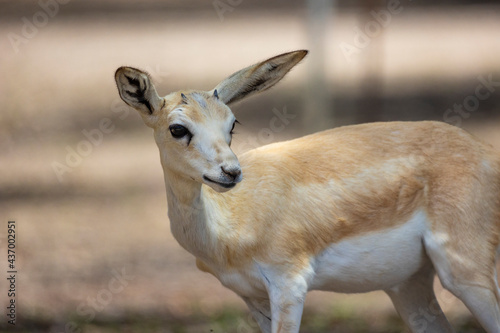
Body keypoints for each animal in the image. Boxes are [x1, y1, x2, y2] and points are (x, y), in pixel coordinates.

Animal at [115, 50, 498, 332]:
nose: (231, 172)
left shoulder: (290, 285)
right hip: (409, 287)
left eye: (232, 124)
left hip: (468, 275)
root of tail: (486, 152)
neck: (234, 225)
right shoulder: (253, 299)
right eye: (178, 128)